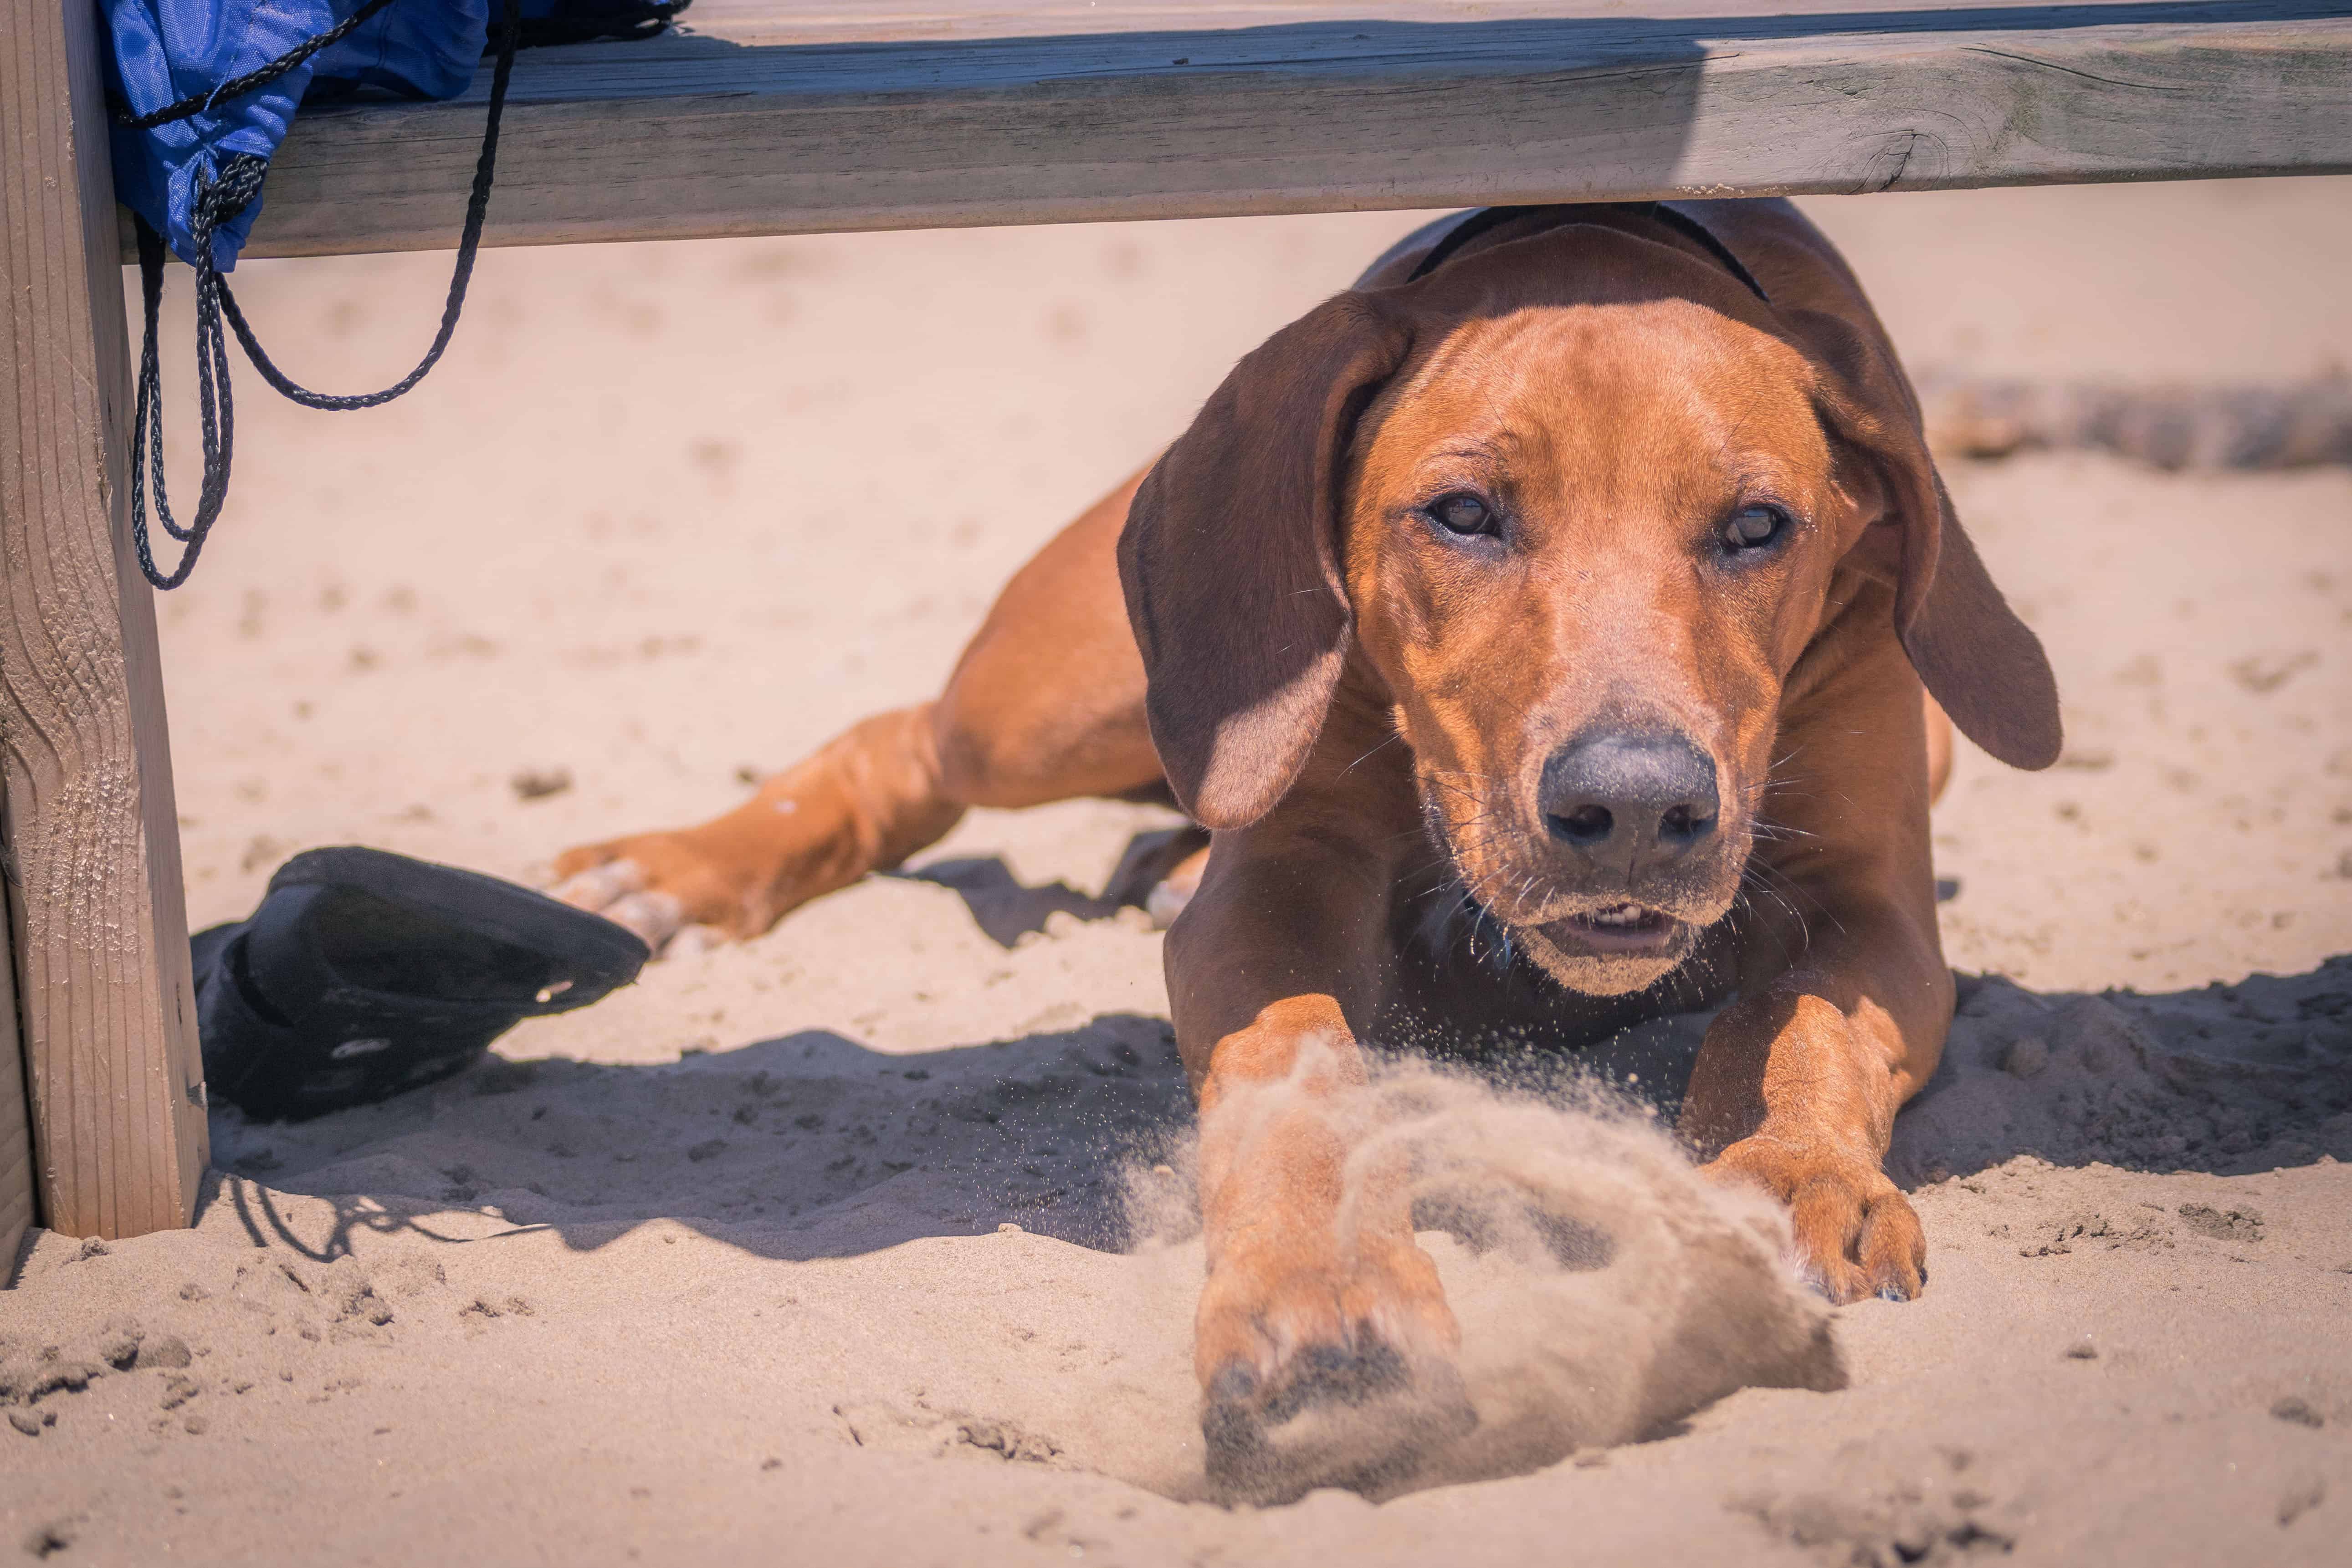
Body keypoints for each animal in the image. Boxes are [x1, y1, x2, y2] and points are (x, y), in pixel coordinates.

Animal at [550, 205, 2060, 1457]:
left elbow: (1795, 1026)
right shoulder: (1273, 884)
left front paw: (1785, 1174)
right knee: (904, 736)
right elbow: (1298, 1061)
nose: (1635, 804)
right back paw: (671, 872)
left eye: (1758, 526)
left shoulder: (1874, 906)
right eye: (1460, 513)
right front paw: (1326, 1294)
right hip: (1058, 703)